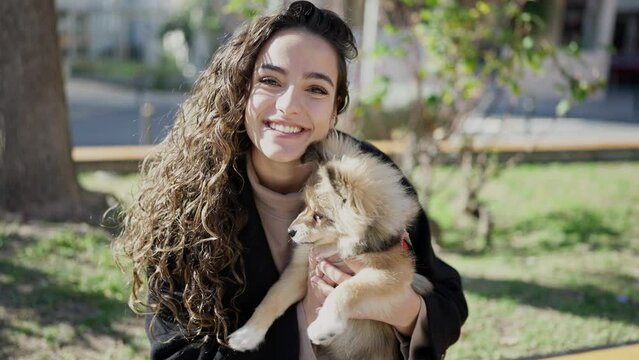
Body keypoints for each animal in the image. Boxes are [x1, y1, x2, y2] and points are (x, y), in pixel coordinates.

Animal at [228, 132, 432, 360]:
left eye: (319, 216)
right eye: (305, 206)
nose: (290, 231)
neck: (338, 247)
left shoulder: (392, 275)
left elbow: (347, 289)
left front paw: (324, 326)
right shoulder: (301, 271)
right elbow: (273, 298)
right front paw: (247, 334)